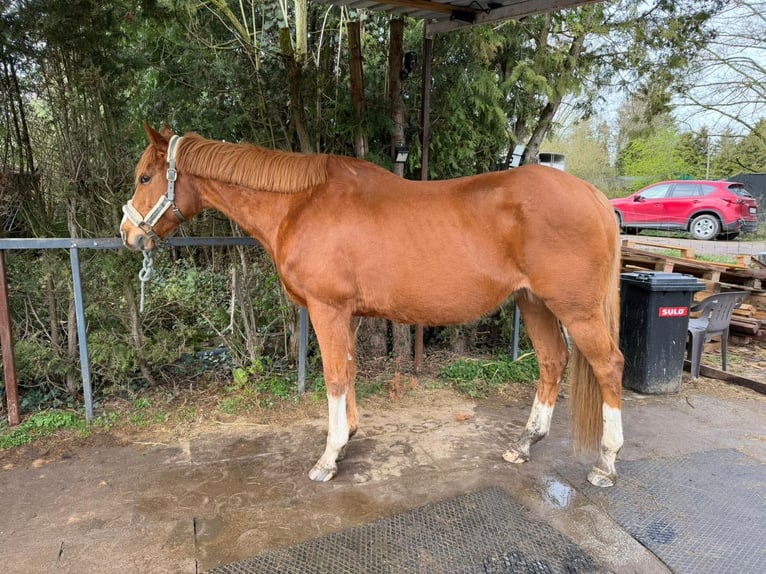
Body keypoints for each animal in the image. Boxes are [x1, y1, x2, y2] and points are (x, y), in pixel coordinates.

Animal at [120, 123, 624, 488]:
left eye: (145, 177)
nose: (128, 234)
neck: (301, 204)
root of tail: (596, 198)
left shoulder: (326, 309)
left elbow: (333, 376)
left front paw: (328, 458)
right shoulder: (346, 314)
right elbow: (348, 369)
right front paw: (348, 438)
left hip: (575, 309)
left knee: (608, 366)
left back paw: (605, 463)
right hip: (534, 303)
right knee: (552, 360)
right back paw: (524, 444)